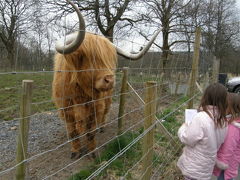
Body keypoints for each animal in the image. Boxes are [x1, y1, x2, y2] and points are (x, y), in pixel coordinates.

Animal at [52, 0, 161, 158]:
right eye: (89, 58)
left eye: (109, 59)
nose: (110, 80)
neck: (81, 93)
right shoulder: (66, 109)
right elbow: (73, 133)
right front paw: (75, 151)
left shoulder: (95, 108)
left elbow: (91, 132)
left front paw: (92, 152)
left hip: (107, 99)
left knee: (104, 114)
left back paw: (101, 128)